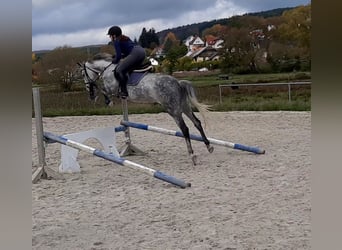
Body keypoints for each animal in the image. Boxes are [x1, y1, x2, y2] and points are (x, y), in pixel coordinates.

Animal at [80, 52, 214, 164]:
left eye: (83, 74)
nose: (88, 90)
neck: (107, 69)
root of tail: (178, 83)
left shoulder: (111, 90)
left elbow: (103, 90)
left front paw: (107, 101)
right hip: (185, 107)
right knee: (197, 122)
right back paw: (209, 146)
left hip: (173, 110)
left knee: (185, 129)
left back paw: (192, 155)